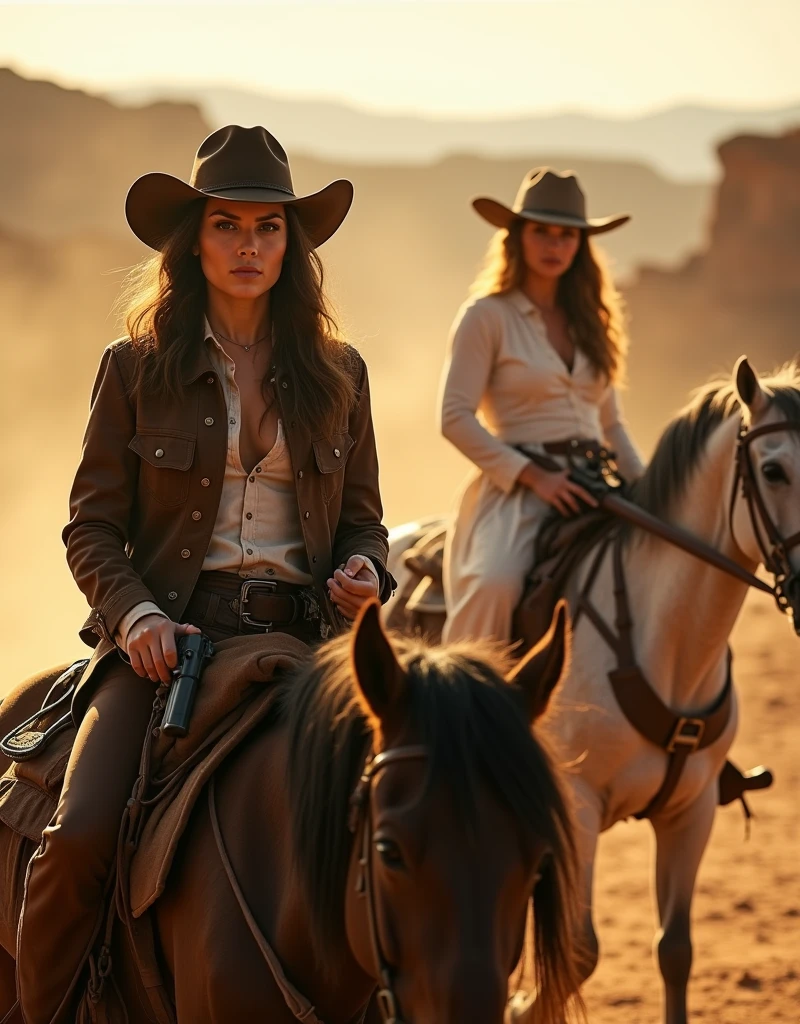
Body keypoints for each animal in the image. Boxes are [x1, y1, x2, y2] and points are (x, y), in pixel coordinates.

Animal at [385, 356, 798, 1019]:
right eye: (773, 469)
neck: (660, 640)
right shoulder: (577, 806)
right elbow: (577, 954)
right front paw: (521, 1006)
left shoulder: (691, 810)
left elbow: (674, 949)